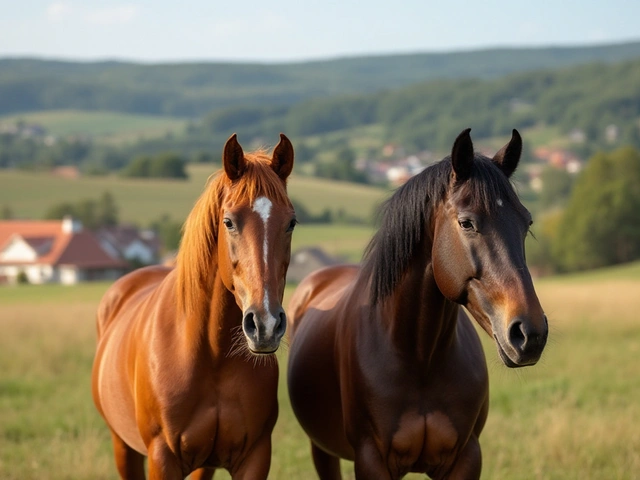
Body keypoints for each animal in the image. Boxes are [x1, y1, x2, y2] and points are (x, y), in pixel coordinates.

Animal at [92, 134, 298, 480]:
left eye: (291, 223)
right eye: (228, 222)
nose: (265, 325)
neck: (210, 356)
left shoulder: (254, 457)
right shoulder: (162, 459)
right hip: (122, 446)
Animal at [288, 128, 548, 480]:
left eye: (526, 222)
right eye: (467, 223)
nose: (530, 334)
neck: (419, 358)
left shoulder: (466, 458)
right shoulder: (371, 462)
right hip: (322, 450)